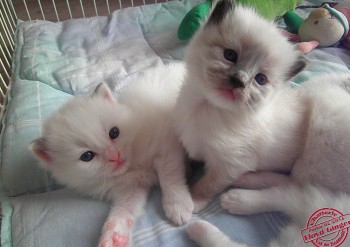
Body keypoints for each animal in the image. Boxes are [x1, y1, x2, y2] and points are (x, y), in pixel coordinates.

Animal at [29, 63, 194, 247]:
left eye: (114, 132)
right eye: (87, 156)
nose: (115, 156)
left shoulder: (166, 143)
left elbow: (169, 176)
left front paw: (178, 205)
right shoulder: (130, 187)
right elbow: (124, 210)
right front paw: (114, 237)